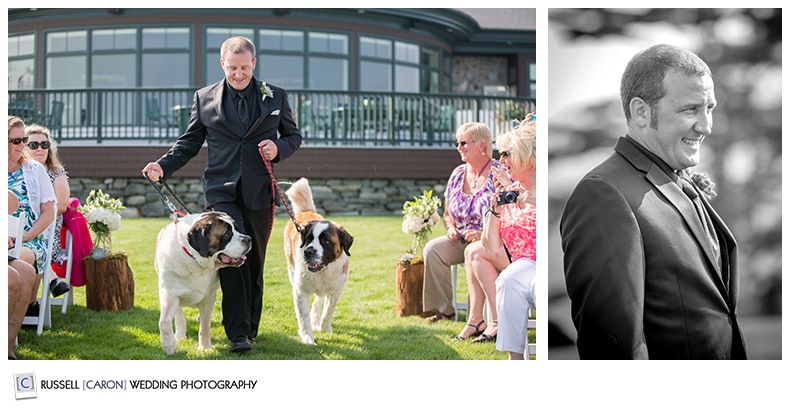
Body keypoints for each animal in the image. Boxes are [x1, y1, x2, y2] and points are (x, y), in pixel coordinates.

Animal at [153, 210, 252, 354]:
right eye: (227, 234)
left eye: (236, 228)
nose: (248, 239)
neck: (195, 259)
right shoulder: (169, 293)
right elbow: (164, 322)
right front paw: (169, 345)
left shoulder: (209, 297)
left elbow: (205, 325)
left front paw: (205, 347)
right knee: (179, 313)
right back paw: (179, 335)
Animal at [284, 177, 352, 342]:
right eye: (308, 239)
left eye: (326, 241)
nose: (308, 251)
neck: (323, 271)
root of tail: (305, 211)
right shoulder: (300, 290)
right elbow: (303, 316)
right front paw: (308, 338)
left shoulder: (337, 289)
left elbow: (328, 310)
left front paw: (325, 328)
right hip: (291, 271)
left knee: (318, 301)